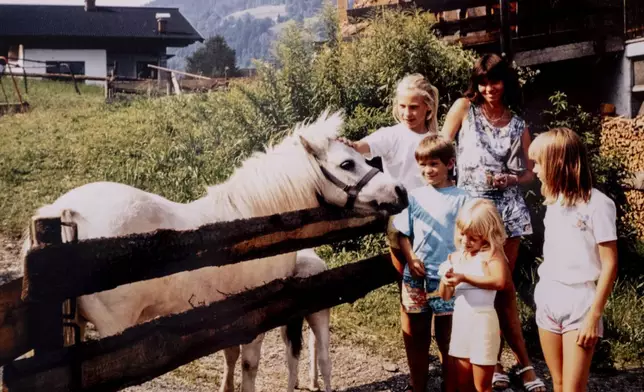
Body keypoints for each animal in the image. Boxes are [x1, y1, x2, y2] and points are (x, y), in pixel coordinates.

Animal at [26, 109, 408, 392]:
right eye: (347, 164)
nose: (400, 191)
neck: (255, 220)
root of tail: (65, 211)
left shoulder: (229, 313)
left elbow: (229, 355)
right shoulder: (258, 314)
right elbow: (250, 364)